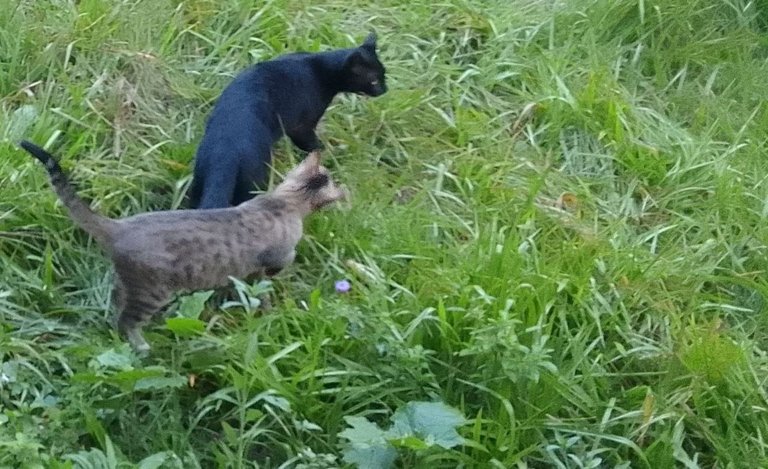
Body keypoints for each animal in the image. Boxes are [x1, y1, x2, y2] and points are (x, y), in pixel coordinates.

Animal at [18, 141, 348, 352]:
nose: (342, 193)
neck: (283, 201)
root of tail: (119, 225)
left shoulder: (253, 272)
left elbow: (257, 290)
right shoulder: (278, 254)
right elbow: (279, 266)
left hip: (127, 283)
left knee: (115, 309)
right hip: (152, 291)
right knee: (126, 321)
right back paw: (143, 348)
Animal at [189, 32, 388, 207]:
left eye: (384, 74)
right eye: (374, 81)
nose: (385, 89)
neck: (320, 68)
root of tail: (224, 156)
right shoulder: (301, 126)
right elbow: (314, 145)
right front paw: (328, 155)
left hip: (198, 185)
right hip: (255, 180)